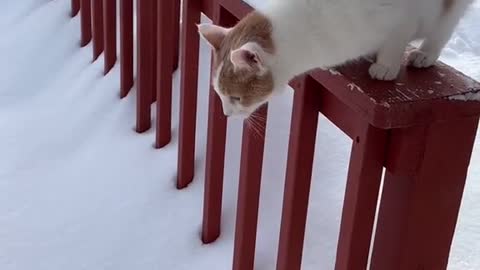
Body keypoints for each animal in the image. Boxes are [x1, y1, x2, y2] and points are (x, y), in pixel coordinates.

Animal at [198, 0, 472, 118]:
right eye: (220, 95)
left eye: (236, 98)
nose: (226, 114)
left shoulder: (402, 16)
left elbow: (396, 39)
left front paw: (385, 64)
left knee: (444, 27)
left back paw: (425, 53)